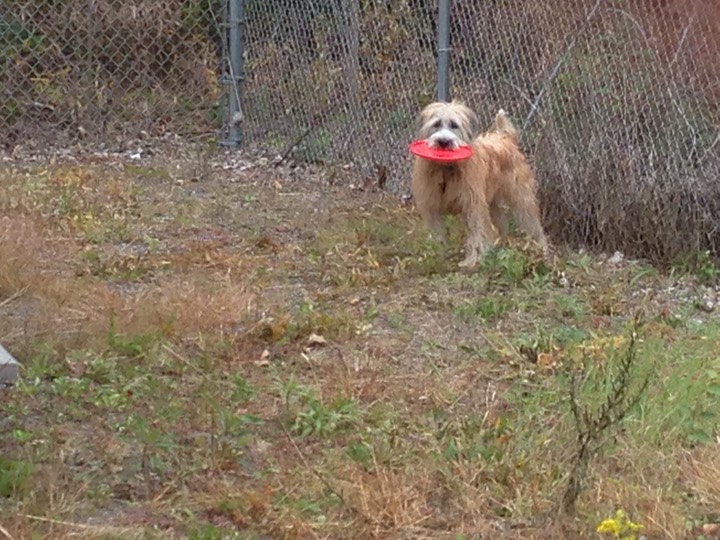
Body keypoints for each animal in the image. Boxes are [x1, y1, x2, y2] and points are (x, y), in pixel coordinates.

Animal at [410, 100, 544, 268]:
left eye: (454, 125)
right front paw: (436, 254)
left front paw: (472, 260)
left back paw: (541, 251)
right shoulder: (431, 205)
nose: (443, 142)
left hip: (522, 199)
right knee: (500, 226)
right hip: (493, 204)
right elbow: (437, 231)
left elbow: (477, 231)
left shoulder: (473, 205)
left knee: (533, 225)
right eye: (437, 124)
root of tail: (505, 137)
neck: (446, 168)